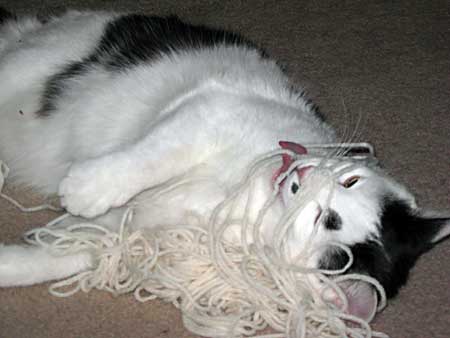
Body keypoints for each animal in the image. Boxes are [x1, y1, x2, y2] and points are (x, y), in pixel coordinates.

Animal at [0, 9, 450, 322]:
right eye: (351, 181)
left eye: (325, 223)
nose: (301, 173)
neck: (240, 196)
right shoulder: (208, 113)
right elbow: (152, 157)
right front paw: (90, 187)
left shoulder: (127, 233)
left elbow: (60, 253)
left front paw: (12, 262)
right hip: (38, 58)